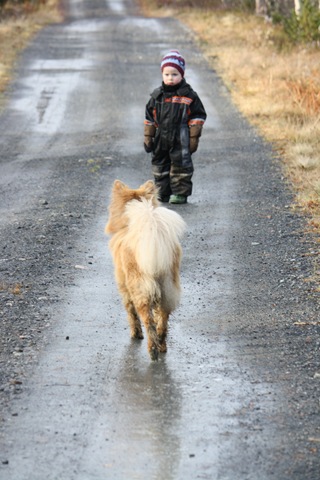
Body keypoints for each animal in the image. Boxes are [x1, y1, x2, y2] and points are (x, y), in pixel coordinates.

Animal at [105, 180, 185, 360]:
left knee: (148, 321)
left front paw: (135, 333)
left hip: (140, 290)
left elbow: (131, 313)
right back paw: (161, 345)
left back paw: (152, 349)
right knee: (163, 320)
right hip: (167, 289)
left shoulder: (124, 286)